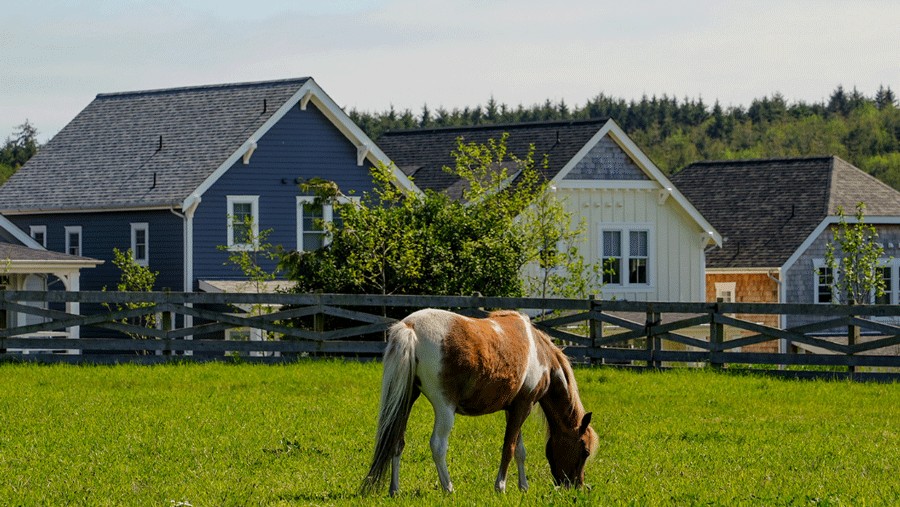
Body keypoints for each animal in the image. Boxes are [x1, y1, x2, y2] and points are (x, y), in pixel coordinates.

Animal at [361, 308, 598, 495]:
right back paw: (448, 488)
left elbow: (520, 450)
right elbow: (509, 448)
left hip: (406, 400)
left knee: (396, 442)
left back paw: (395, 489)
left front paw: (523, 487)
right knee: (438, 445)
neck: (541, 353)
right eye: (585, 451)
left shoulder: (513, 408)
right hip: (444, 408)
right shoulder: (523, 406)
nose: (576, 486)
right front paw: (501, 486)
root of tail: (410, 327)